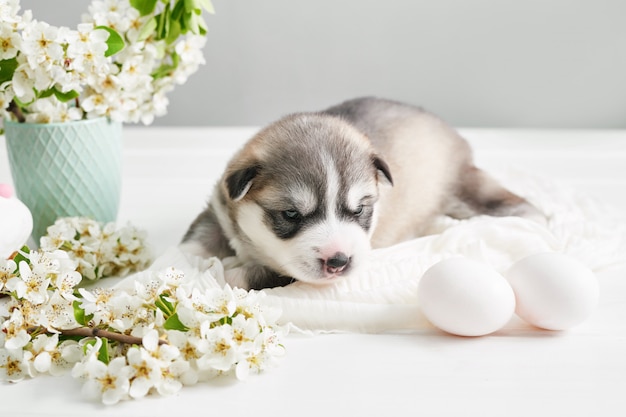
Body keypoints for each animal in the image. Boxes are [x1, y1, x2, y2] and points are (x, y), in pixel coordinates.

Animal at [180, 96, 540, 290]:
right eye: (291, 214)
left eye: (358, 210)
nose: (339, 261)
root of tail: (450, 131)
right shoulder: (217, 210)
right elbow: (193, 241)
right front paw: (175, 268)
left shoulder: (284, 272)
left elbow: (246, 273)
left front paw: (216, 275)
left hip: (466, 191)